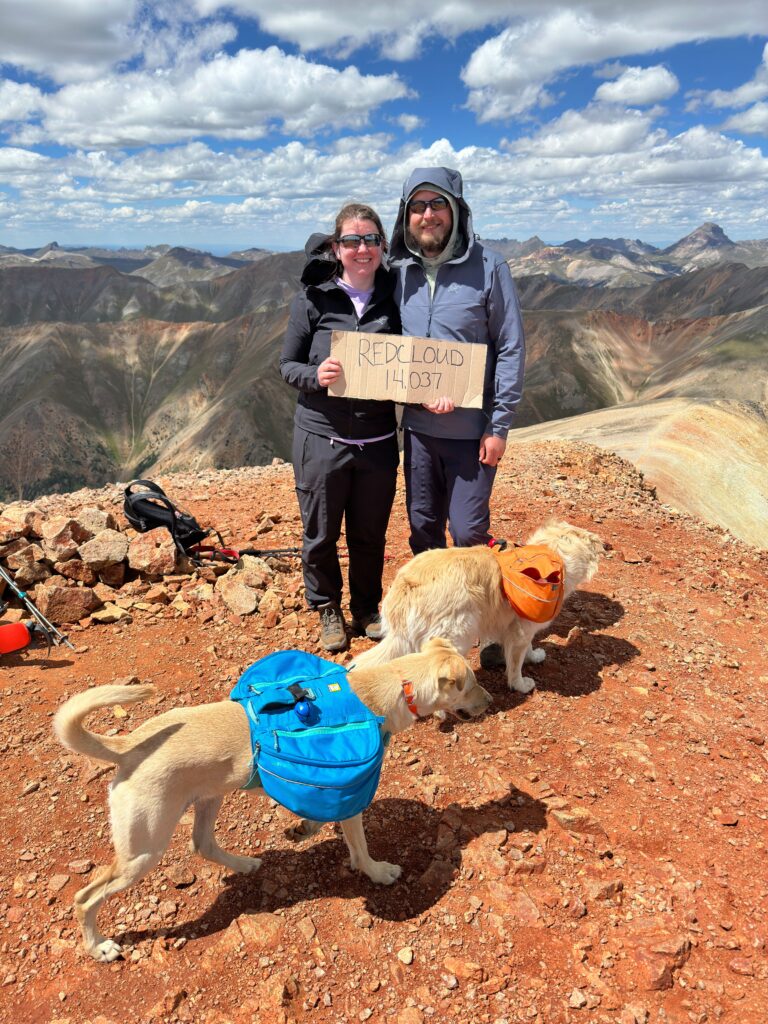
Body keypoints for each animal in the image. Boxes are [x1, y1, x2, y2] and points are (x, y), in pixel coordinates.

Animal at [54, 634, 489, 962]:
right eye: (470, 684)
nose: (490, 701)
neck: (390, 688)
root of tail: (127, 746)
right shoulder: (350, 794)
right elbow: (361, 849)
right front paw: (378, 872)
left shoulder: (327, 791)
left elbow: (318, 821)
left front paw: (303, 830)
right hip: (143, 849)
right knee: (85, 898)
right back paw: (99, 948)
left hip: (208, 799)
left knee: (202, 844)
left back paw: (244, 864)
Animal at [352, 524, 606, 692]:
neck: (552, 555)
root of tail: (405, 586)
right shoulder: (521, 631)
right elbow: (516, 664)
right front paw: (520, 685)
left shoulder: (520, 627)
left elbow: (529, 648)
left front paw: (534, 656)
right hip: (459, 632)